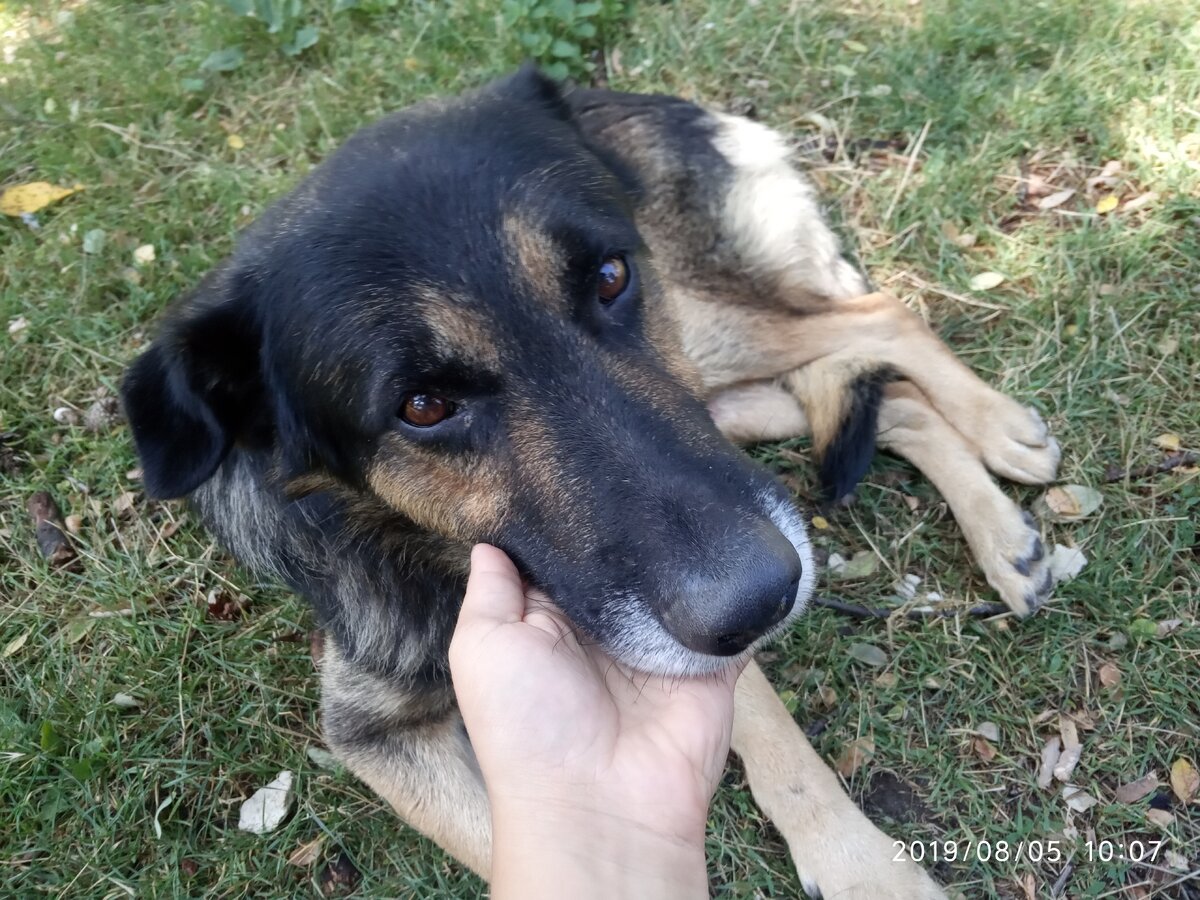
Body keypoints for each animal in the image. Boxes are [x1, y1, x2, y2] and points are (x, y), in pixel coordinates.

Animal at [124, 70, 1060, 900]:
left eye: (610, 277)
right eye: (421, 406)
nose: (762, 601)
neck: (426, 552)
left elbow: (782, 752)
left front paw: (865, 871)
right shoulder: (373, 734)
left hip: (707, 344)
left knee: (879, 319)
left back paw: (1001, 434)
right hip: (718, 401)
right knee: (870, 392)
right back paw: (1004, 533)